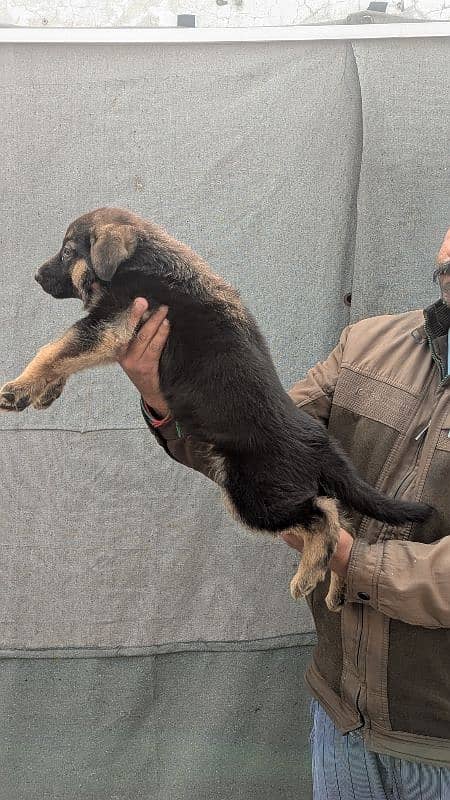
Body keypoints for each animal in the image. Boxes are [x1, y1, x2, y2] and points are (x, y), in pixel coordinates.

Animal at [1, 209, 432, 608]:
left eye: (67, 251)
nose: (36, 276)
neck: (141, 259)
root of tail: (319, 441)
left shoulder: (112, 321)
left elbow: (54, 348)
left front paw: (17, 389)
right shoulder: (111, 327)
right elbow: (64, 356)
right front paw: (44, 391)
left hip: (254, 494)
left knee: (323, 517)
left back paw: (308, 575)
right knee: (346, 525)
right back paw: (337, 588)